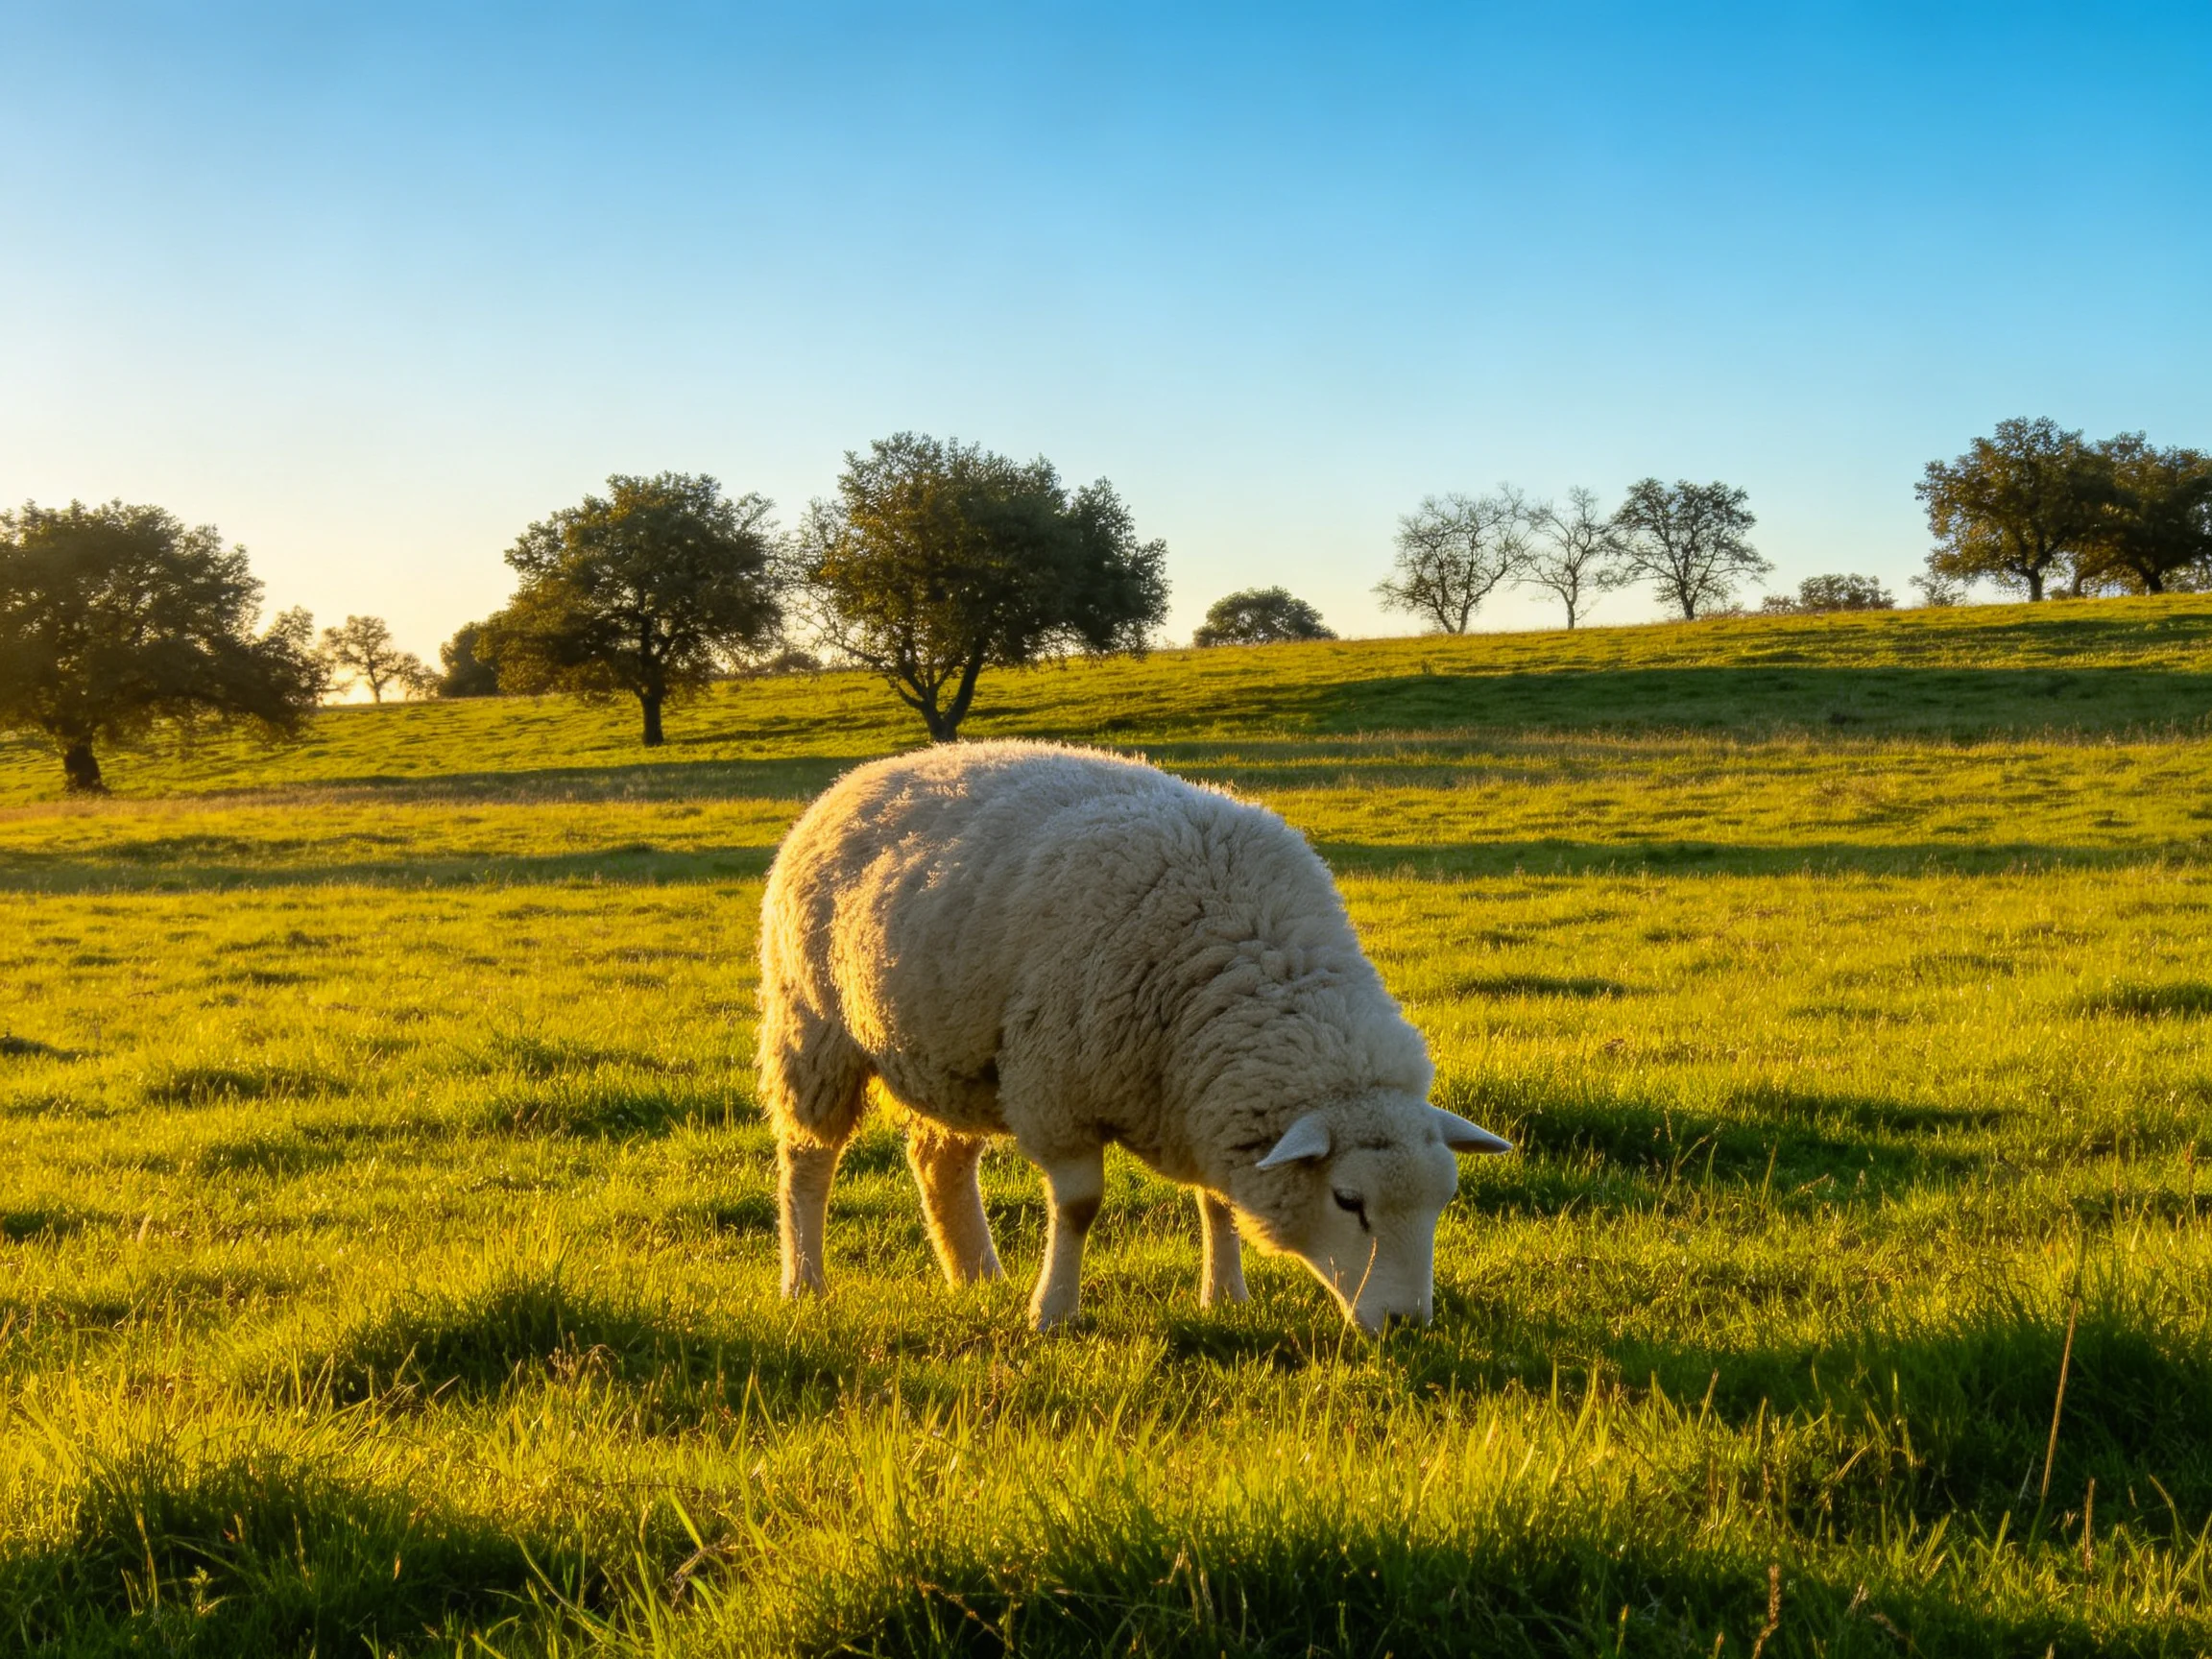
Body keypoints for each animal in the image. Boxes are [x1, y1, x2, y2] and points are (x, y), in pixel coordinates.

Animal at [756, 740, 1511, 1333]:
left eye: (1443, 1201)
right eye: (1348, 1201)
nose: (1407, 1323)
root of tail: (865, 772)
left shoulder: (1201, 1095)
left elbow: (1217, 1202)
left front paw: (1224, 1297)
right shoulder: (1058, 1088)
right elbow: (1080, 1207)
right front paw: (1053, 1314)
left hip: (947, 1053)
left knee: (938, 1160)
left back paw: (977, 1276)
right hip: (812, 1027)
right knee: (807, 1159)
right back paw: (805, 1283)